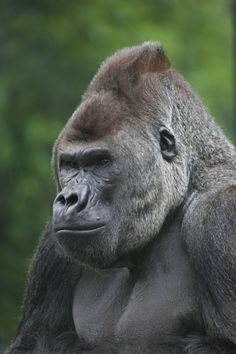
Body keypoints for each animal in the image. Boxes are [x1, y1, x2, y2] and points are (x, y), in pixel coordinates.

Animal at [6, 42, 236, 352]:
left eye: (101, 162)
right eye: (70, 165)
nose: (69, 198)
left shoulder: (220, 215)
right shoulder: (52, 245)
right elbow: (32, 342)